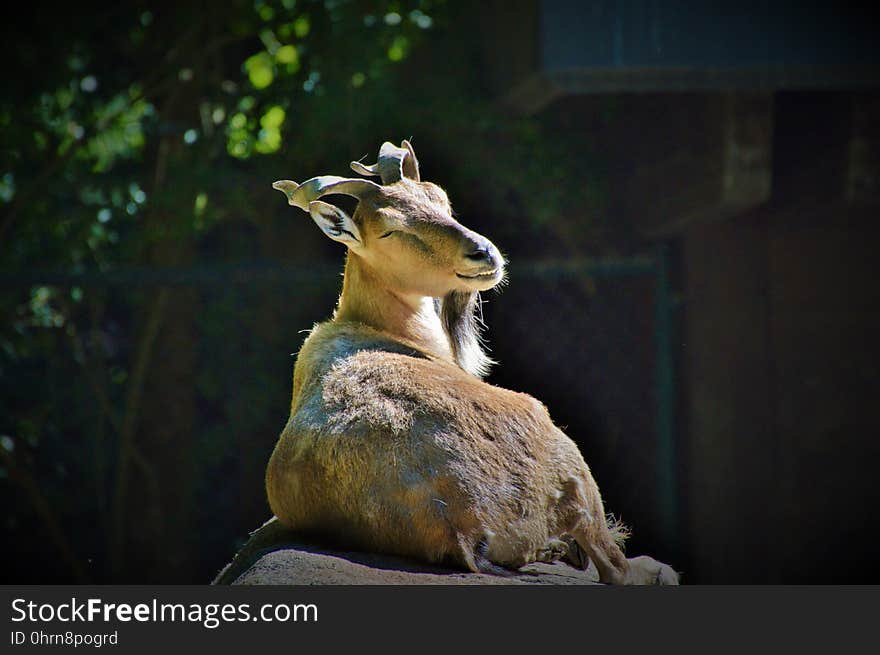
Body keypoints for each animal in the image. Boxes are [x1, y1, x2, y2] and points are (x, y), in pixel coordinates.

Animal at [264, 140, 676, 584]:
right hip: (563, 454)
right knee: (614, 565)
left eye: (439, 198)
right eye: (390, 229)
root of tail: (462, 524)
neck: (379, 328)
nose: (483, 253)